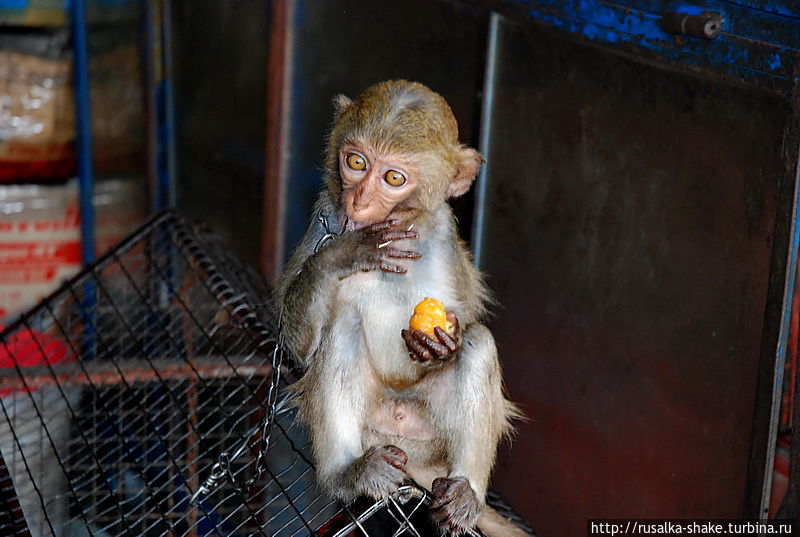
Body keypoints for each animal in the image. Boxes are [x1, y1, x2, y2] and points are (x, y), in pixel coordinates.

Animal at [276, 80, 524, 536]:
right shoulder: (323, 220)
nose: (358, 202)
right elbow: (295, 347)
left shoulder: (446, 237)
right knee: (342, 326)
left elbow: (469, 322)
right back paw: (348, 473)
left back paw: (465, 493)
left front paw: (439, 345)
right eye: (356, 162)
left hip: (430, 431)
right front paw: (343, 255)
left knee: (479, 342)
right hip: (372, 427)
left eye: (393, 177)